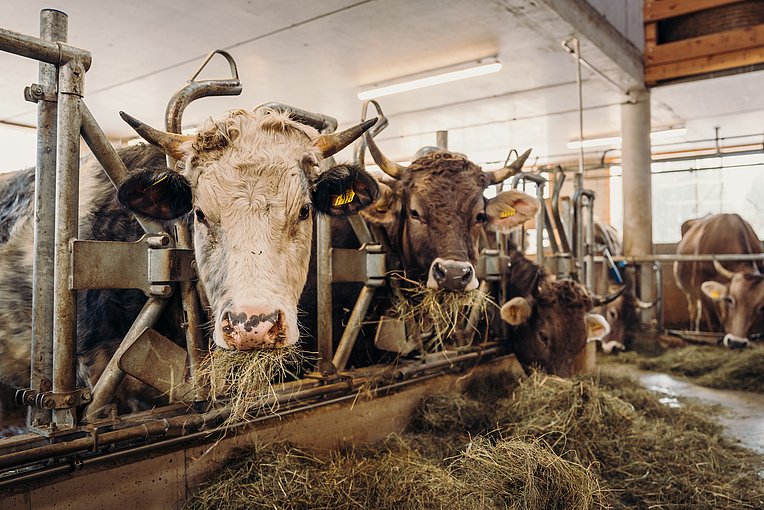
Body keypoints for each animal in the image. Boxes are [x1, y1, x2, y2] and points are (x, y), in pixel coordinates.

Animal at [676, 211, 760, 346]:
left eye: (760, 308)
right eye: (730, 300)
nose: (737, 343)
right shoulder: (701, 289)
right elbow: (714, 322)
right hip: (690, 292)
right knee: (694, 310)